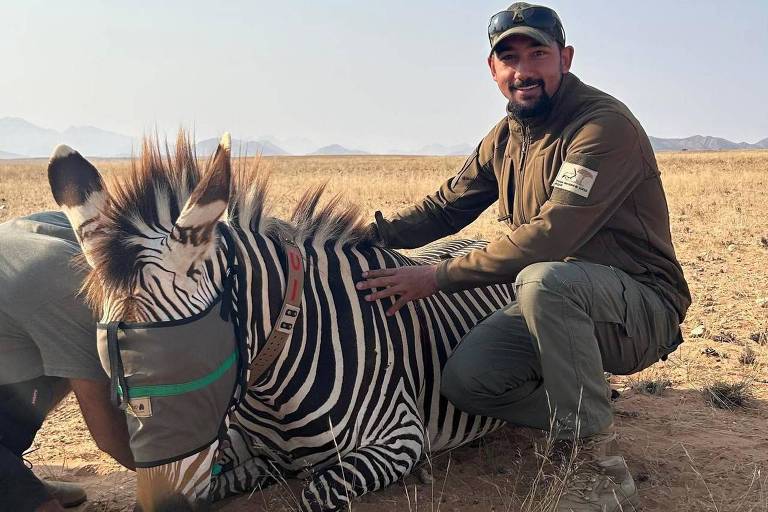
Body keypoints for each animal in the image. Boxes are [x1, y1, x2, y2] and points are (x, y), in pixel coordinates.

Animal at [51, 133, 512, 512]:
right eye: (108, 372)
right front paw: (258, 471)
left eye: (198, 361)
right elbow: (219, 478)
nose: (162, 505)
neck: (272, 387)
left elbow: (316, 491)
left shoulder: (401, 436)